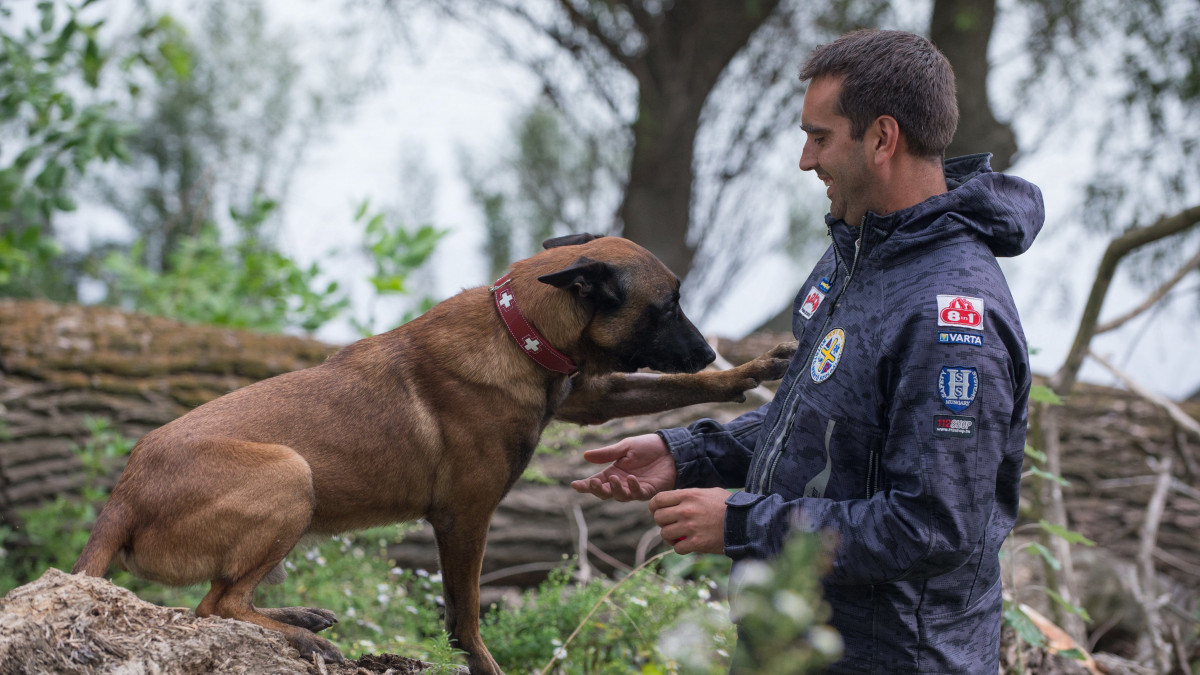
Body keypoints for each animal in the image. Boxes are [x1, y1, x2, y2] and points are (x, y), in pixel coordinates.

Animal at [70, 233, 792, 672]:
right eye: (665, 306)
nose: (708, 348)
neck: (518, 327)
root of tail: (123, 494)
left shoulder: (586, 393)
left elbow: (671, 389)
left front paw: (748, 372)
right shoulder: (465, 518)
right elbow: (465, 616)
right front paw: (485, 665)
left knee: (223, 602)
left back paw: (298, 617)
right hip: (291, 473)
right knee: (214, 606)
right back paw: (297, 631)